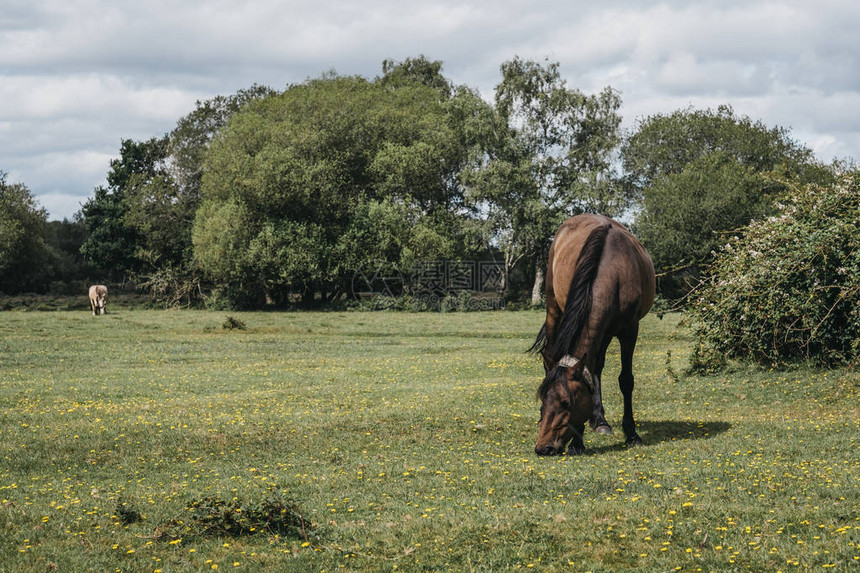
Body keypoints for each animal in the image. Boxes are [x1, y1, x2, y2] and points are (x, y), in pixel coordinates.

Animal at [528, 214, 656, 456]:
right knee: (550, 354)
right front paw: (578, 442)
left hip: (604, 333)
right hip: (553, 307)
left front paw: (631, 433)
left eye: (567, 403)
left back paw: (600, 421)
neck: (613, 272)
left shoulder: (629, 330)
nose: (543, 448)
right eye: (543, 399)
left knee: (597, 366)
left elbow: (626, 380)